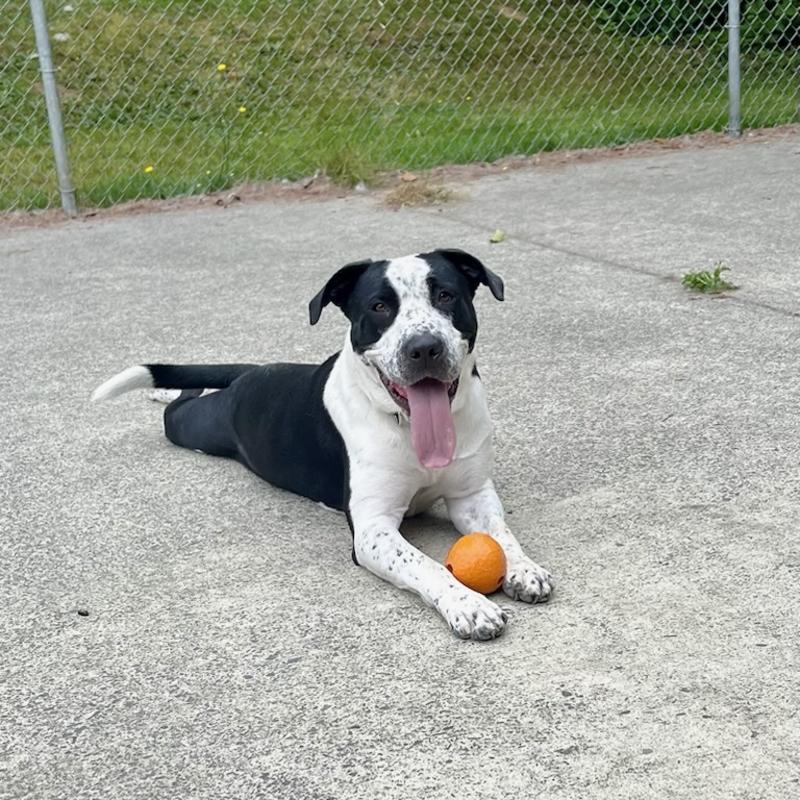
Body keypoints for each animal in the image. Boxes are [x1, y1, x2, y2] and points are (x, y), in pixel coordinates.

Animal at [92, 248, 553, 639]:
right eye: (379, 307)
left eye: (445, 295)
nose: (424, 347)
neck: (406, 425)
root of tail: (251, 372)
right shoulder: (373, 531)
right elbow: (426, 564)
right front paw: (467, 604)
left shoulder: (471, 495)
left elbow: (502, 535)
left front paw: (524, 568)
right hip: (194, 426)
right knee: (181, 405)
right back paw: (165, 392)